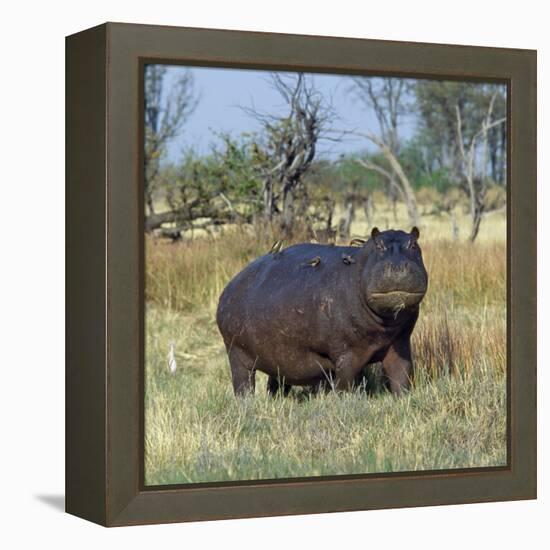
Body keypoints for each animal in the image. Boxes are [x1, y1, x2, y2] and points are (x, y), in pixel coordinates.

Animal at [218, 226, 430, 398]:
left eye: (414, 244)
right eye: (378, 245)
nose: (398, 266)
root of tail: (230, 285)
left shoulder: (399, 343)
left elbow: (402, 375)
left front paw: (404, 399)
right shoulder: (347, 353)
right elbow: (345, 382)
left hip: (274, 359)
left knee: (275, 382)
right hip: (236, 355)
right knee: (243, 384)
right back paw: (246, 403)